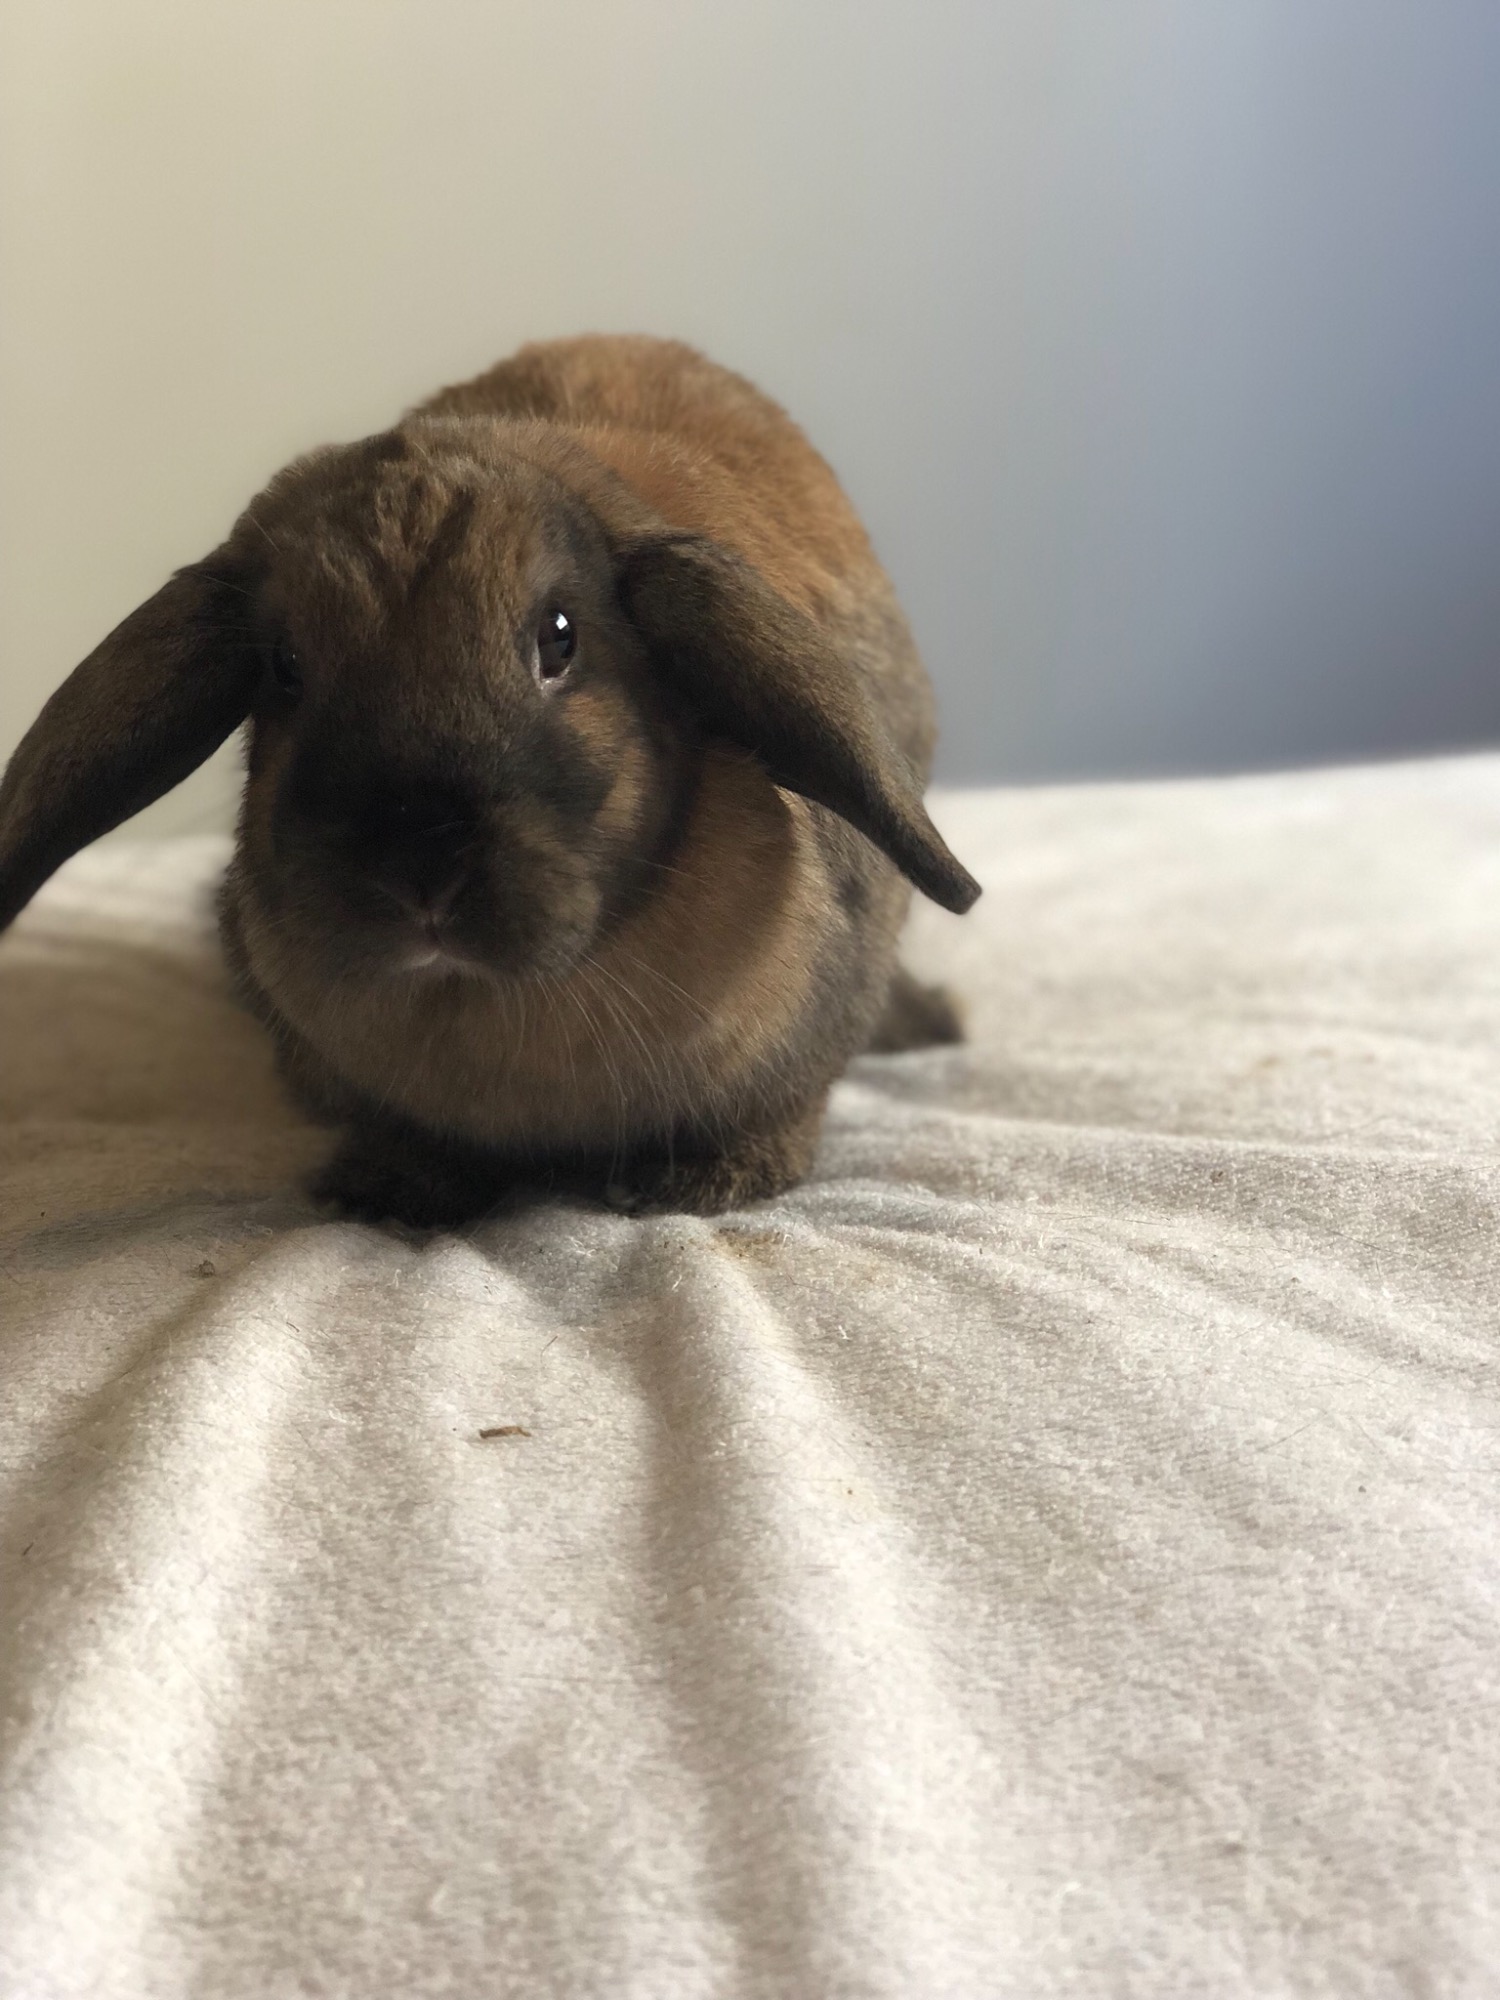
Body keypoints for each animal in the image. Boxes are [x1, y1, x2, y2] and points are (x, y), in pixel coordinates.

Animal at [0, 335, 979, 1224]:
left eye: (559, 637)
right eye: (283, 667)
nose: (419, 862)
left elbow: (785, 1114)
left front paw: (702, 1185)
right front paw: (390, 1191)